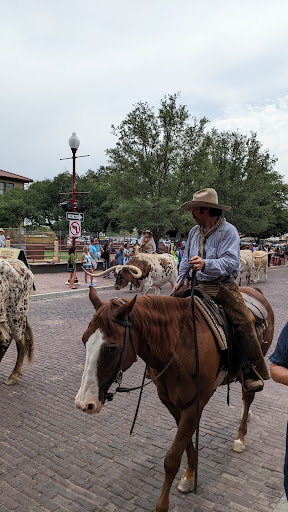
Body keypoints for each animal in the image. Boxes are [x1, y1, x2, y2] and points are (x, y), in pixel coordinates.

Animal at [75, 288, 274, 512]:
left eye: (112, 348)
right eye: (84, 340)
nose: (84, 402)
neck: (178, 348)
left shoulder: (195, 405)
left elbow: (171, 458)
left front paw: (162, 505)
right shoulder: (172, 404)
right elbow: (186, 445)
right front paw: (190, 476)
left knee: (248, 396)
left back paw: (240, 437)